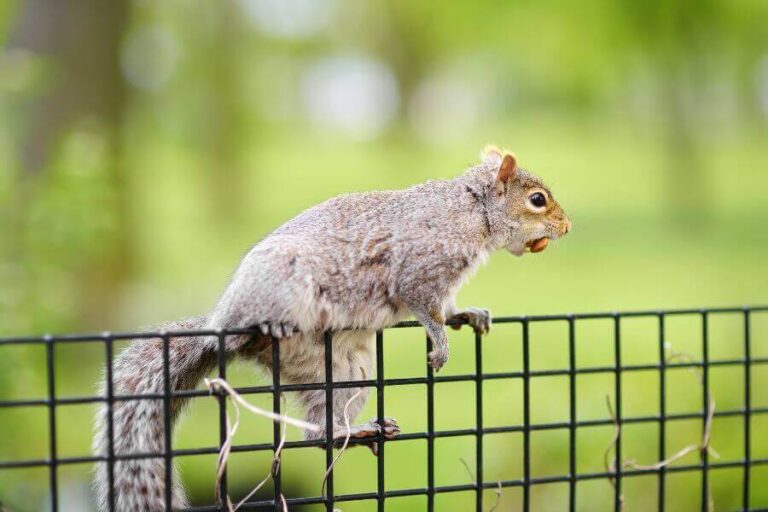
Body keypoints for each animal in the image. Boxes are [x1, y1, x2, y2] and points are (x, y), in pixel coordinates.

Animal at [92, 146, 571, 511]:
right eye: (537, 200)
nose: (566, 227)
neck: (472, 211)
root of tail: (219, 325)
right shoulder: (419, 269)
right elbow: (424, 308)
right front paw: (440, 344)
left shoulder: (443, 283)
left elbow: (447, 307)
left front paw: (468, 315)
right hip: (281, 290)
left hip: (344, 373)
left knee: (318, 433)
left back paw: (357, 432)